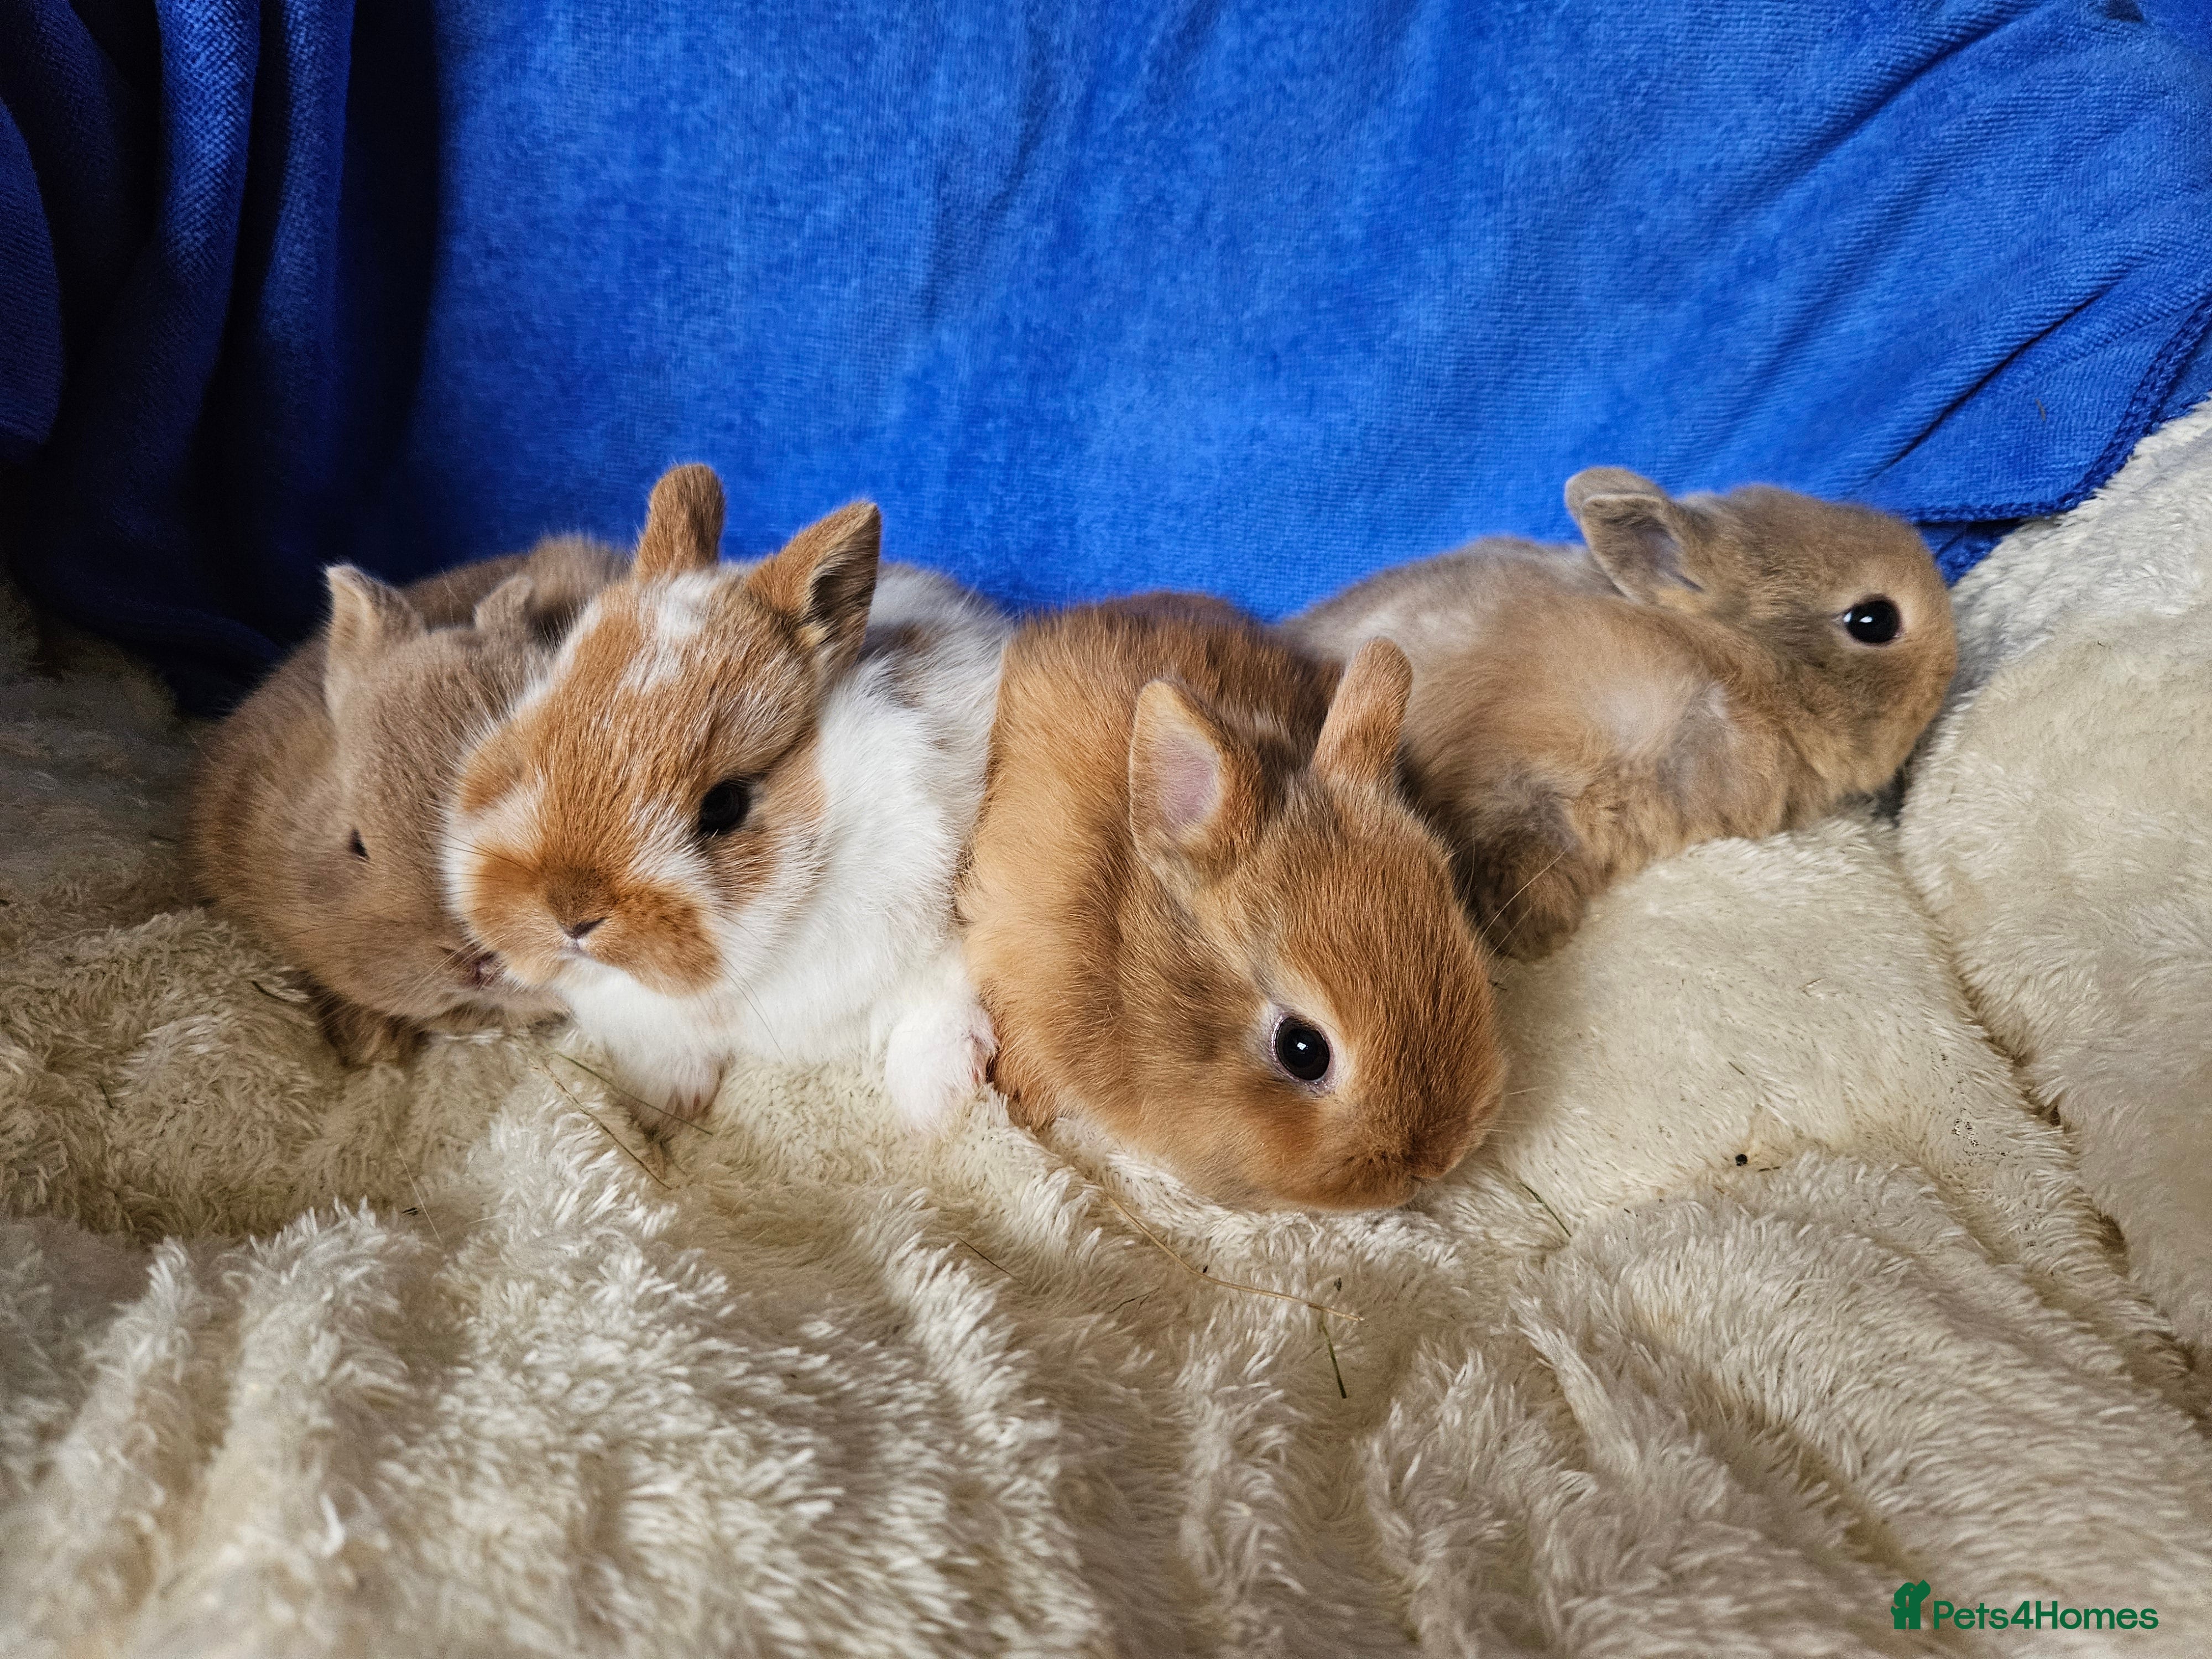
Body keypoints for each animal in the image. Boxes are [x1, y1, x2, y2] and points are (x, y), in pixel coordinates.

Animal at [445, 464, 1011, 1132]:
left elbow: (939, 1006)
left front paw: (934, 1108)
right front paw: (663, 1102)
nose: (572, 916)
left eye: (724, 806)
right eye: (530, 752)